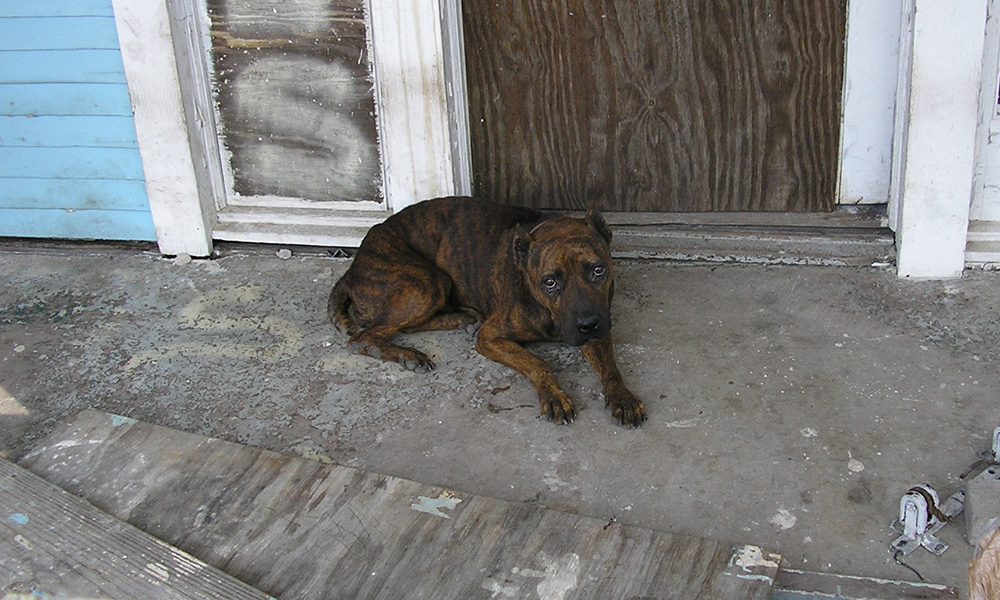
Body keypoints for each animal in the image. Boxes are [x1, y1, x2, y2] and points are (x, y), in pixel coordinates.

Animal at [328, 198, 648, 426]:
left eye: (598, 270)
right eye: (550, 282)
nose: (587, 324)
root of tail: (352, 269)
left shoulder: (599, 326)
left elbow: (609, 367)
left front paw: (622, 396)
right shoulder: (492, 337)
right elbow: (536, 362)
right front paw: (553, 394)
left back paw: (464, 318)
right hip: (427, 282)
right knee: (365, 337)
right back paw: (408, 354)